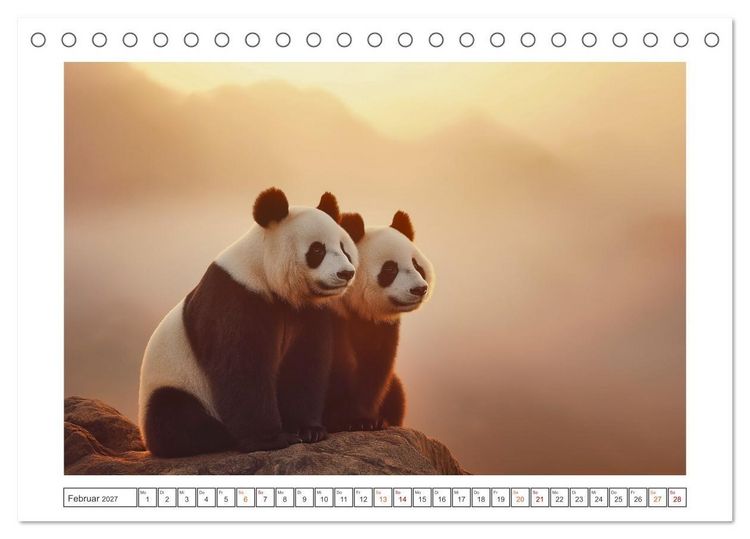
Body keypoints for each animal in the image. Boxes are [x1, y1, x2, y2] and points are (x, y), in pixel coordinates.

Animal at [138, 187, 359, 457]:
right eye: (317, 250)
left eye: (344, 248)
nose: (346, 273)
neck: (263, 274)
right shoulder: (235, 297)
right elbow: (242, 367)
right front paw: (270, 439)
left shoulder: (306, 312)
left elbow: (304, 363)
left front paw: (308, 430)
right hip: (176, 382)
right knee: (176, 417)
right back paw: (217, 435)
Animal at [324, 210, 435, 432]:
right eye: (390, 269)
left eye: (417, 265)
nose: (419, 289)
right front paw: (342, 421)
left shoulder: (382, 327)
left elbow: (375, 370)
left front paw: (366, 420)